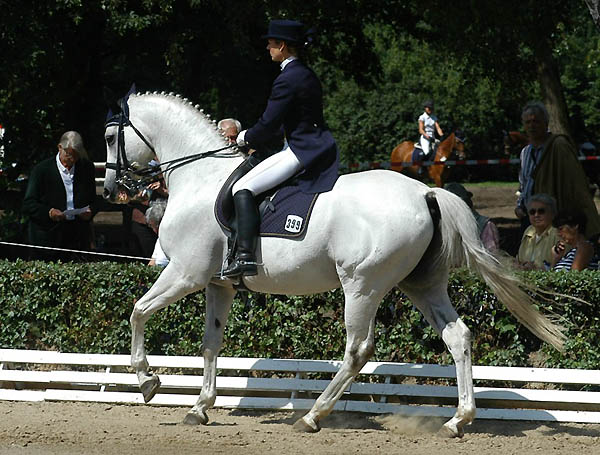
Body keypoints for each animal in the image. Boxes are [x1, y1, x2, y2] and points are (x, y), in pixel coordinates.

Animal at [101, 91, 564, 438]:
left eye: (108, 137)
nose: (109, 189)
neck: (198, 179)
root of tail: (424, 193)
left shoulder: (185, 273)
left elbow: (137, 312)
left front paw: (147, 382)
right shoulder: (219, 284)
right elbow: (210, 344)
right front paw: (199, 407)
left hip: (361, 285)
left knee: (357, 349)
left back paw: (312, 416)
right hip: (421, 284)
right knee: (458, 336)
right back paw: (457, 420)